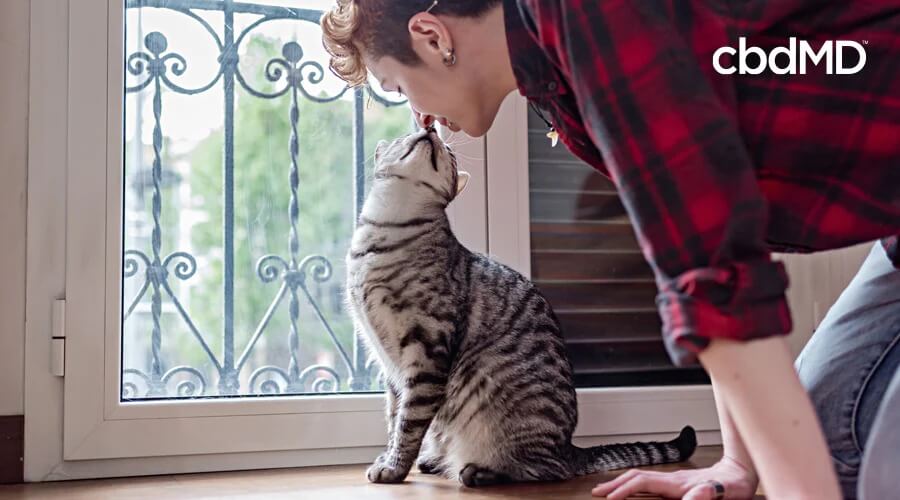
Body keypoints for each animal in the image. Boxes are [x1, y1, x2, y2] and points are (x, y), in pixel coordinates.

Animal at [346, 127, 696, 486]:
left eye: (449, 152)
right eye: (409, 134)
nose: (429, 128)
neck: (383, 232)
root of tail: (570, 448)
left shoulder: (427, 348)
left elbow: (409, 422)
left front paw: (394, 467)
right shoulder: (388, 361)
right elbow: (394, 417)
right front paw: (389, 456)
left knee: (545, 470)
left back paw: (480, 472)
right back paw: (436, 461)